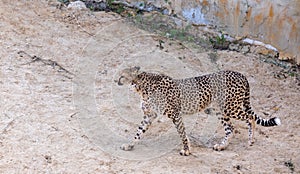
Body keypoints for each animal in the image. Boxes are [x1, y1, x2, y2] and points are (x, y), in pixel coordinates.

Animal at [116, 66, 278, 155]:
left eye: (122, 76)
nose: (116, 81)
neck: (141, 86)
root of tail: (240, 74)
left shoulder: (175, 114)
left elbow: (182, 133)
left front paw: (187, 150)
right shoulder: (149, 115)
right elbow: (138, 132)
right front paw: (130, 145)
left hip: (230, 107)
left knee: (250, 118)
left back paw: (250, 140)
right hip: (220, 110)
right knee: (230, 128)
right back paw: (222, 146)